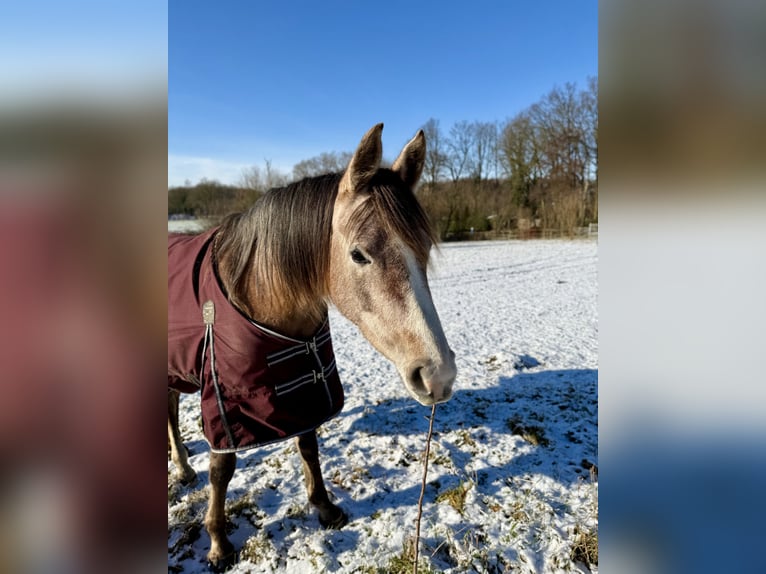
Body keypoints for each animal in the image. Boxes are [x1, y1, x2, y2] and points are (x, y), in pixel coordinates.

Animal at [167, 123, 457, 569]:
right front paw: (217, 542)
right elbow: (223, 466)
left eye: (424, 249)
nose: (439, 375)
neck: (259, 299)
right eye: (358, 255)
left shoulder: (302, 386)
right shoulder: (224, 399)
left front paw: (324, 506)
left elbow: (308, 444)